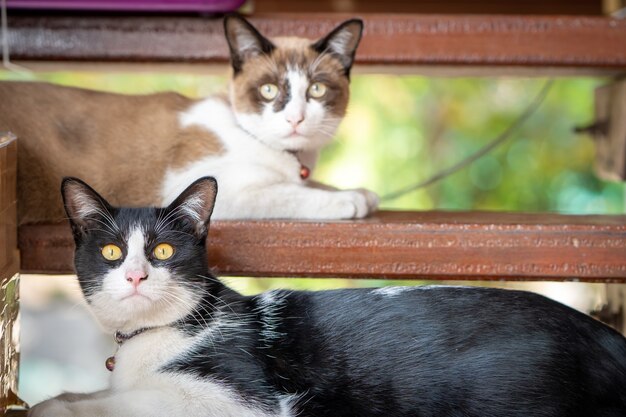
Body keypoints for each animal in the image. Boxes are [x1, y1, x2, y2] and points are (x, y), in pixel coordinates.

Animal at [0, 15, 376, 224]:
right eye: (269, 90)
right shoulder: (208, 189)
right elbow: (288, 193)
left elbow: (310, 185)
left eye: (316, 90)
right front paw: (348, 199)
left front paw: (361, 192)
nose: (296, 119)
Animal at [30, 177, 624, 416]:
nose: (135, 276)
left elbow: (118, 403)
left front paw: (50, 407)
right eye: (112, 252)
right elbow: (88, 393)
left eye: (162, 251)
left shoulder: (241, 401)